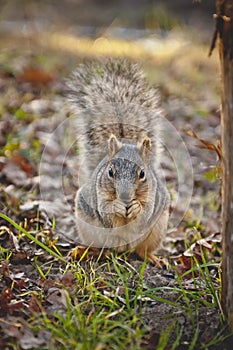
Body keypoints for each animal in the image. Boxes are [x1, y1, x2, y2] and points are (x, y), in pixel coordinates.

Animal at [66, 59, 170, 262]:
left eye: (143, 173)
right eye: (110, 172)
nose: (125, 197)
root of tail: (124, 249)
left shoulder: (154, 197)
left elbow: (144, 214)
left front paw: (136, 207)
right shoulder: (98, 196)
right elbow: (107, 213)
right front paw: (117, 206)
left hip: (157, 229)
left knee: (143, 250)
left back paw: (152, 258)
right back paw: (96, 251)